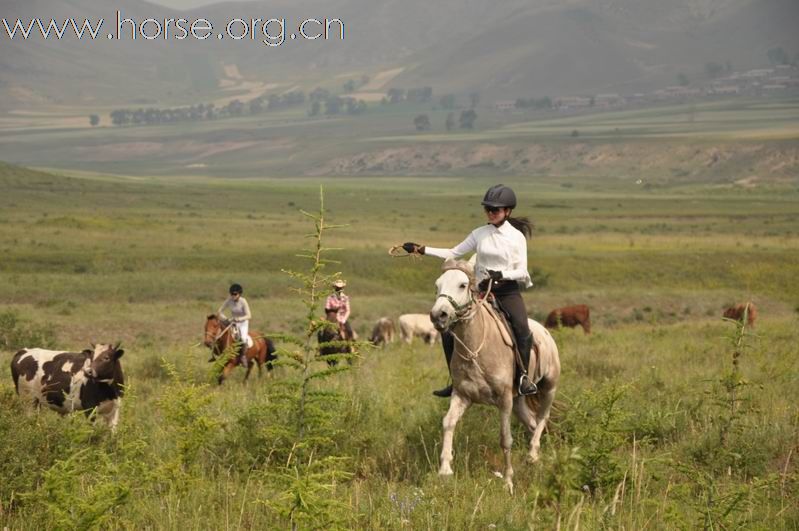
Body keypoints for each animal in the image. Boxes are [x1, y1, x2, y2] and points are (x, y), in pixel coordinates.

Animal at [432, 260, 564, 496]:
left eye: (462, 285)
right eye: (437, 285)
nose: (439, 315)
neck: (476, 347)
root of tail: (545, 331)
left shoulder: (504, 400)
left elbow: (505, 439)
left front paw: (508, 482)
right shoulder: (462, 395)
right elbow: (448, 423)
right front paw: (445, 470)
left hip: (549, 387)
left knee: (542, 418)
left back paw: (532, 455)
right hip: (519, 400)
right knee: (532, 423)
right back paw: (536, 459)